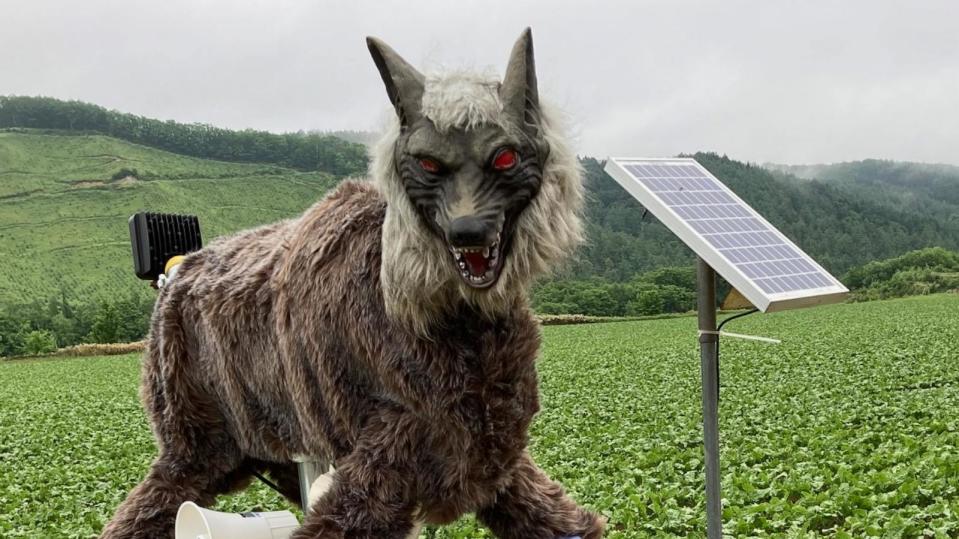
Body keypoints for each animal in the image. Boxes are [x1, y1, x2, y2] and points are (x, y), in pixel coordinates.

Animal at [101, 28, 604, 539]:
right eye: (428, 164)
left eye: (505, 157)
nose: (467, 231)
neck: (448, 320)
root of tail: (177, 271)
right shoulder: (387, 458)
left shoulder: (492, 456)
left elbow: (563, 521)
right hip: (194, 442)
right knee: (142, 510)